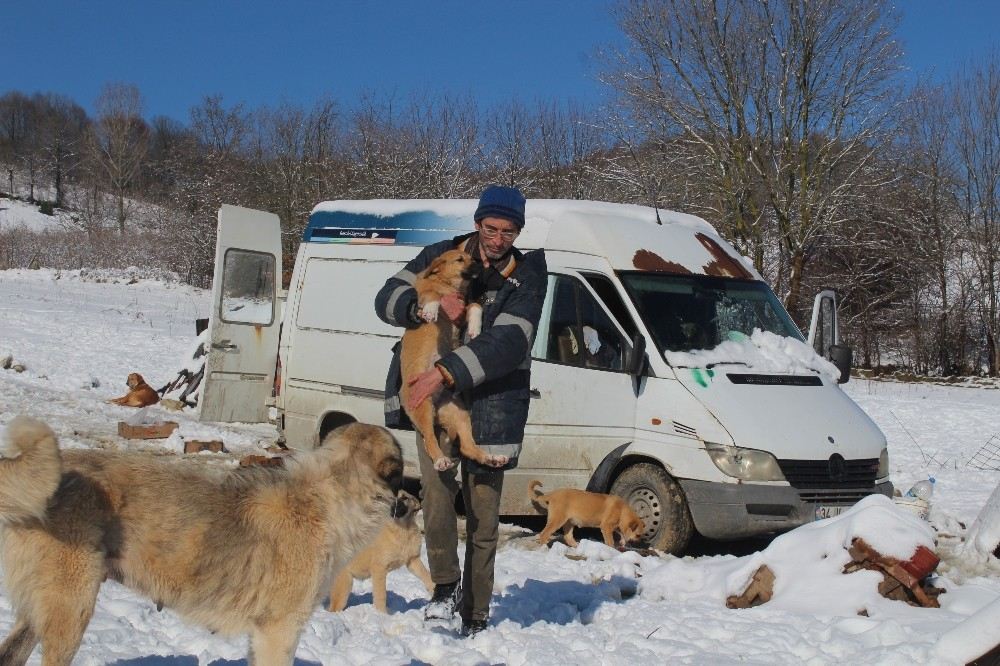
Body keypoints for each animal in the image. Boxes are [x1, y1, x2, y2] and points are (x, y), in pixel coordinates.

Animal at [398, 246, 508, 470]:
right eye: (459, 259)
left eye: (471, 258)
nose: (481, 266)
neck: (447, 284)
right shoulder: (424, 293)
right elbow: (433, 295)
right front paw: (431, 310)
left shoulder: (463, 305)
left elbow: (476, 306)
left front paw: (475, 328)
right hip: (423, 406)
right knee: (429, 438)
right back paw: (441, 459)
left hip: (460, 414)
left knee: (468, 447)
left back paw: (491, 458)